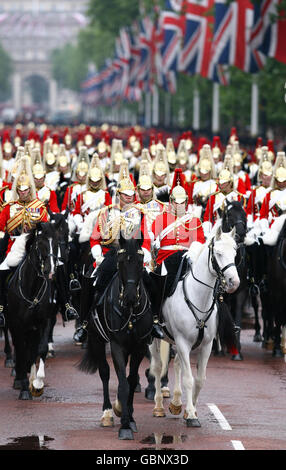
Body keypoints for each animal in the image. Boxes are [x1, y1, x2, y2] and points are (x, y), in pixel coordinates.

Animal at [6, 218, 69, 400]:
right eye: (40, 243)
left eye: (56, 243)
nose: (50, 270)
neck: (32, 288)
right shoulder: (18, 325)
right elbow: (21, 352)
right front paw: (24, 388)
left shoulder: (44, 321)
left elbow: (40, 349)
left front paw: (38, 382)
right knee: (21, 350)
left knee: (32, 350)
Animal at [78, 231, 154, 440]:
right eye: (121, 262)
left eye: (140, 261)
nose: (130, 297)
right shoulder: (117, 345)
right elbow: (122, 382)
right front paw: (125, 425)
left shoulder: (139, 346)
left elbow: (131, 380)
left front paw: (130, 417)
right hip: (96, 339)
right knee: (104, 372)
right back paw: (107, 413)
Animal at [149, 226, 240, 428]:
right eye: (218, 253)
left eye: (235, 252)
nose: (234, 282)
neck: (199, 297)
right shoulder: (183, 342)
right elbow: (189, 379)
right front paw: (191, 415)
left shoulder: (206, 345)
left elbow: (199, 379)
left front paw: (190, 410)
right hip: (154, 340)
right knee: (158, 367)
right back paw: (158, 406)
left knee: (176, 364)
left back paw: (176, 403)